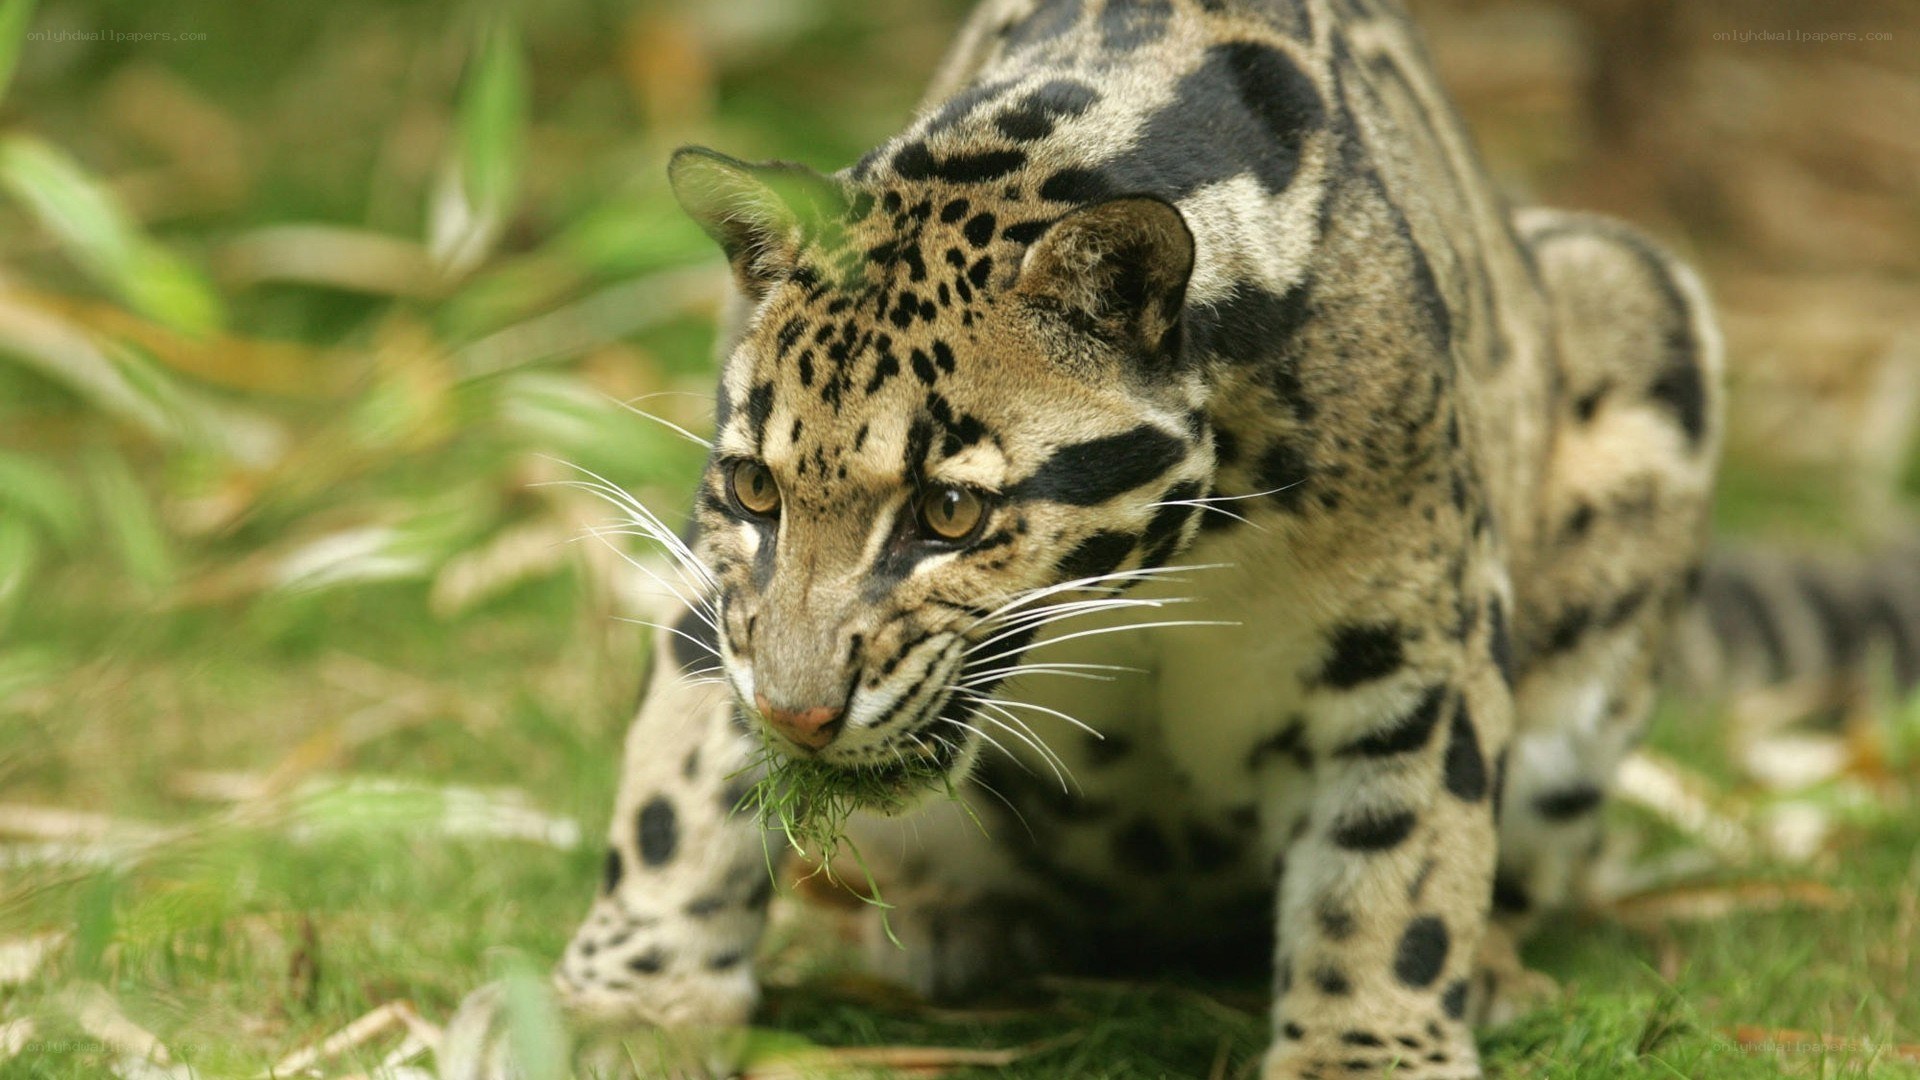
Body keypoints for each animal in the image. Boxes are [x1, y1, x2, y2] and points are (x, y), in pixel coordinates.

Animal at [440, 0, 1920, 1077]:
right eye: (754, 488)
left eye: (951, 511)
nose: (800, 717)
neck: (1165, 571)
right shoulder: (726, 601)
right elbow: (676, 787)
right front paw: (620, 1004)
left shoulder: (1418, 634)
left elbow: (1398, 863)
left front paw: (1368, 1048)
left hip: (1635, 306)